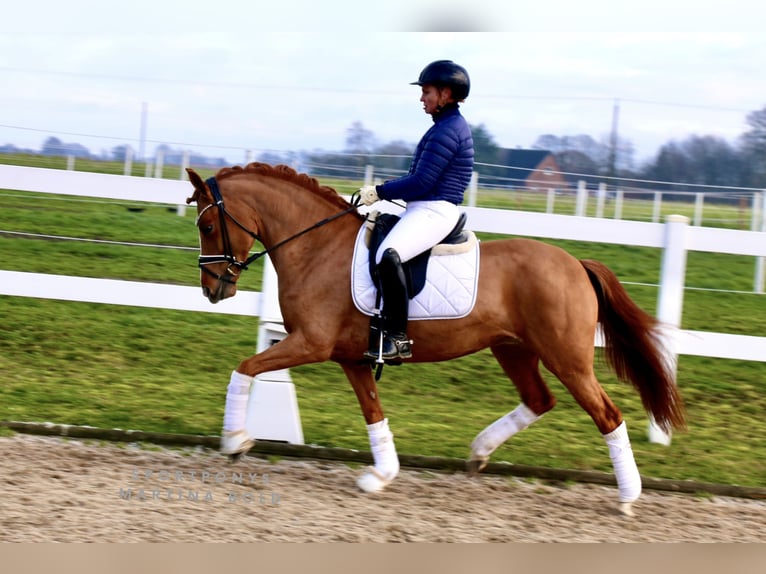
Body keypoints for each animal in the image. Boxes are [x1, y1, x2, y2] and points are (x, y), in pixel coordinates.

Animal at [184, 162, 684, 516]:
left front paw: (235, 441)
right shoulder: (352, 357)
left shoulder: (311, 343)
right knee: (539, 400)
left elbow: (245, 369)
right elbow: (373, 412)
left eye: (207, 227)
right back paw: (479, 453)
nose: (213, 289)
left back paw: (628, 497)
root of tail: (576, 263)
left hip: (567, 358)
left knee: (607, 415)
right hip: (514, 349)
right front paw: (382, 475)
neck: (317, 247)